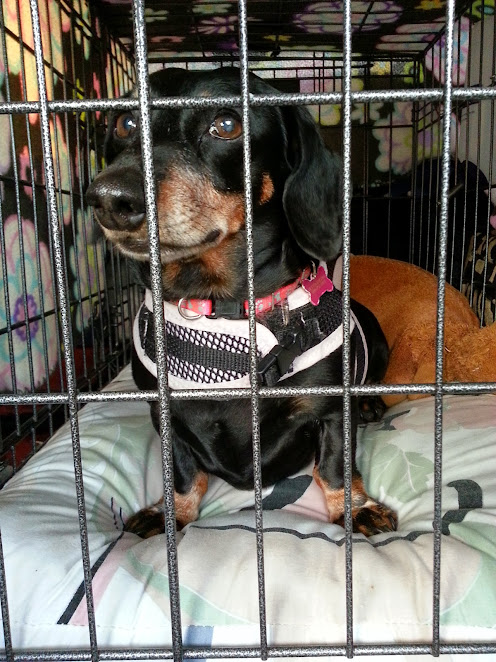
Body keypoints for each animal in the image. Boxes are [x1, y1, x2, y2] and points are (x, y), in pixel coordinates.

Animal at [86, 67, 397, 538]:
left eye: (227, 124)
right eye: (125, 122)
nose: (109, 198)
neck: (222, 310)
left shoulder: (330, 411)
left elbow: (334, 467)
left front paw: (356, 509)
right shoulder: (165, 413)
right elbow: (182, 472)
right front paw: (173, 514)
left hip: (376, 345)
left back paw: (371, 402)